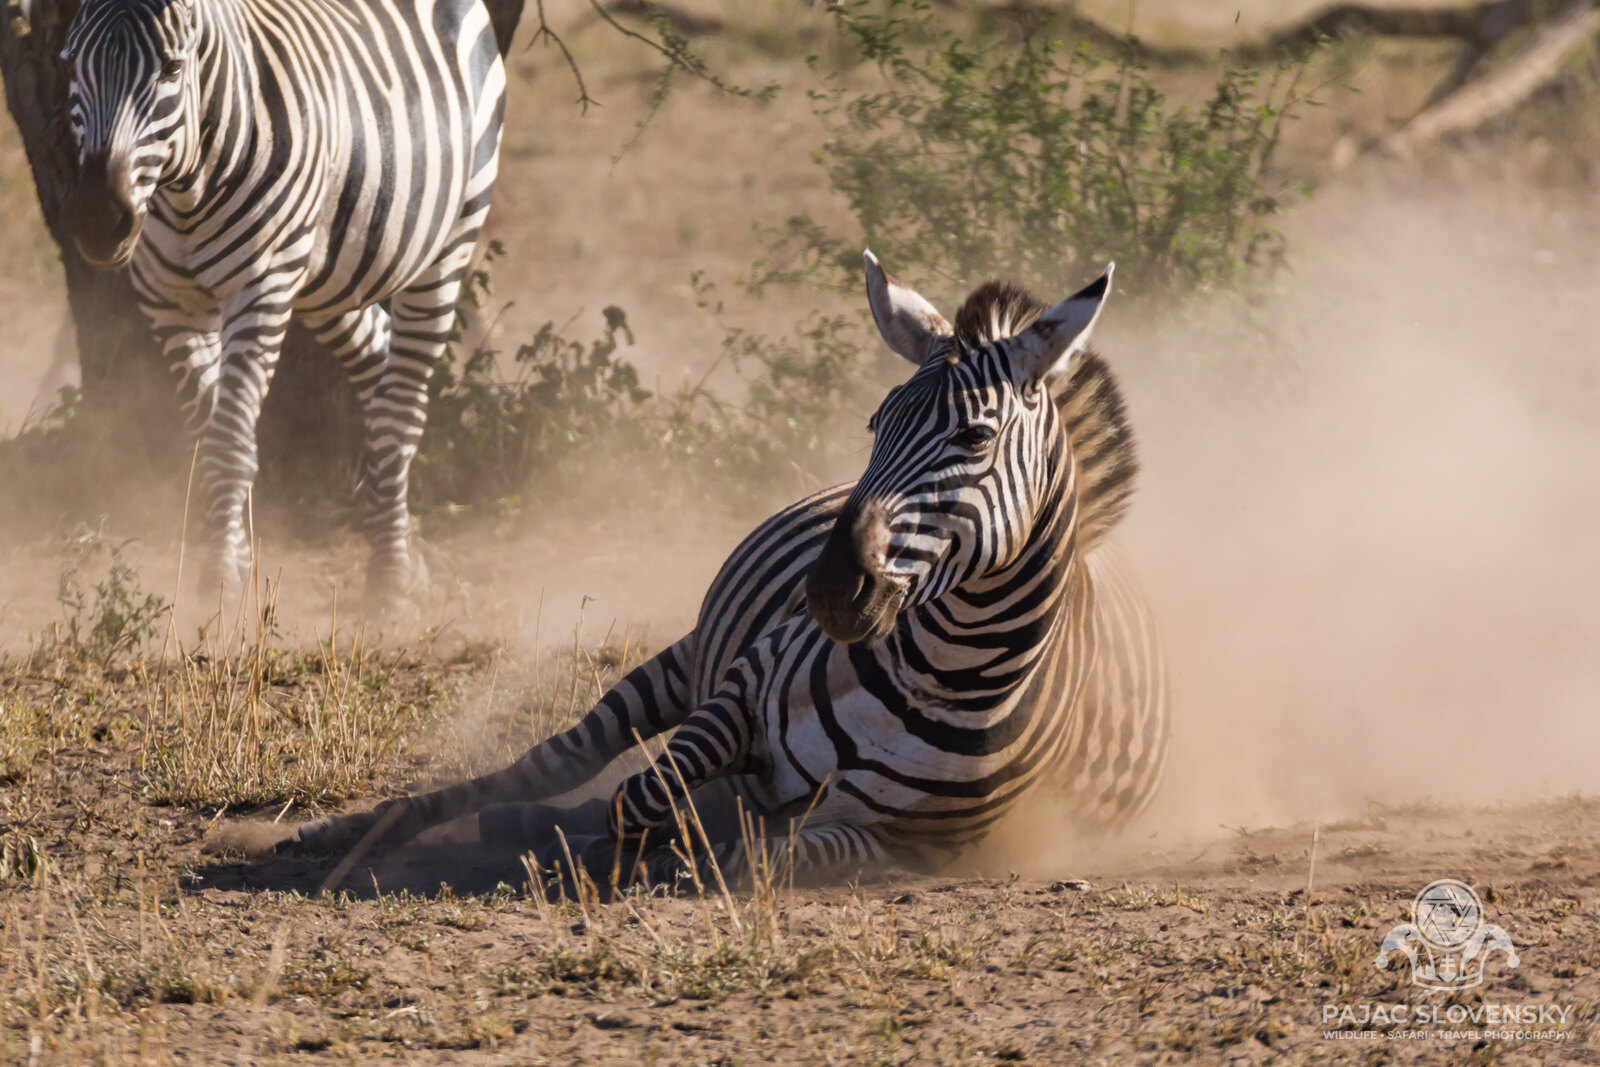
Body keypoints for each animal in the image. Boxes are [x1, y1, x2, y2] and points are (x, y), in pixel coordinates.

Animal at [57, 0, 505, 607]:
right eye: (72, 64)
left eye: (173, 70)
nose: (99, 222)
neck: (186, 187)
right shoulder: (170, 306)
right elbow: (215, 437)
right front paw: (237, 561)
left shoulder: (261, 289)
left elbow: (227, 442)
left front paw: (218, 583)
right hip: (330, 273)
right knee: (379, 360)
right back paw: (406, 555)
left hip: (449, 240)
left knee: (401, 409)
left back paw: (388, 583)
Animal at [295, 252, 1169, 885]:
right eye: (875, 423)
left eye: (974, 438)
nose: (831, 588)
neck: (942, 671)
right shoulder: (736, 697)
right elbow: (641, 794)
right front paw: (606, 852)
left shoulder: (908, 842)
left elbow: (758, 852)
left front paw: (672, 853)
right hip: (675, 663)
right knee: (547, 766)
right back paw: (368, 827)